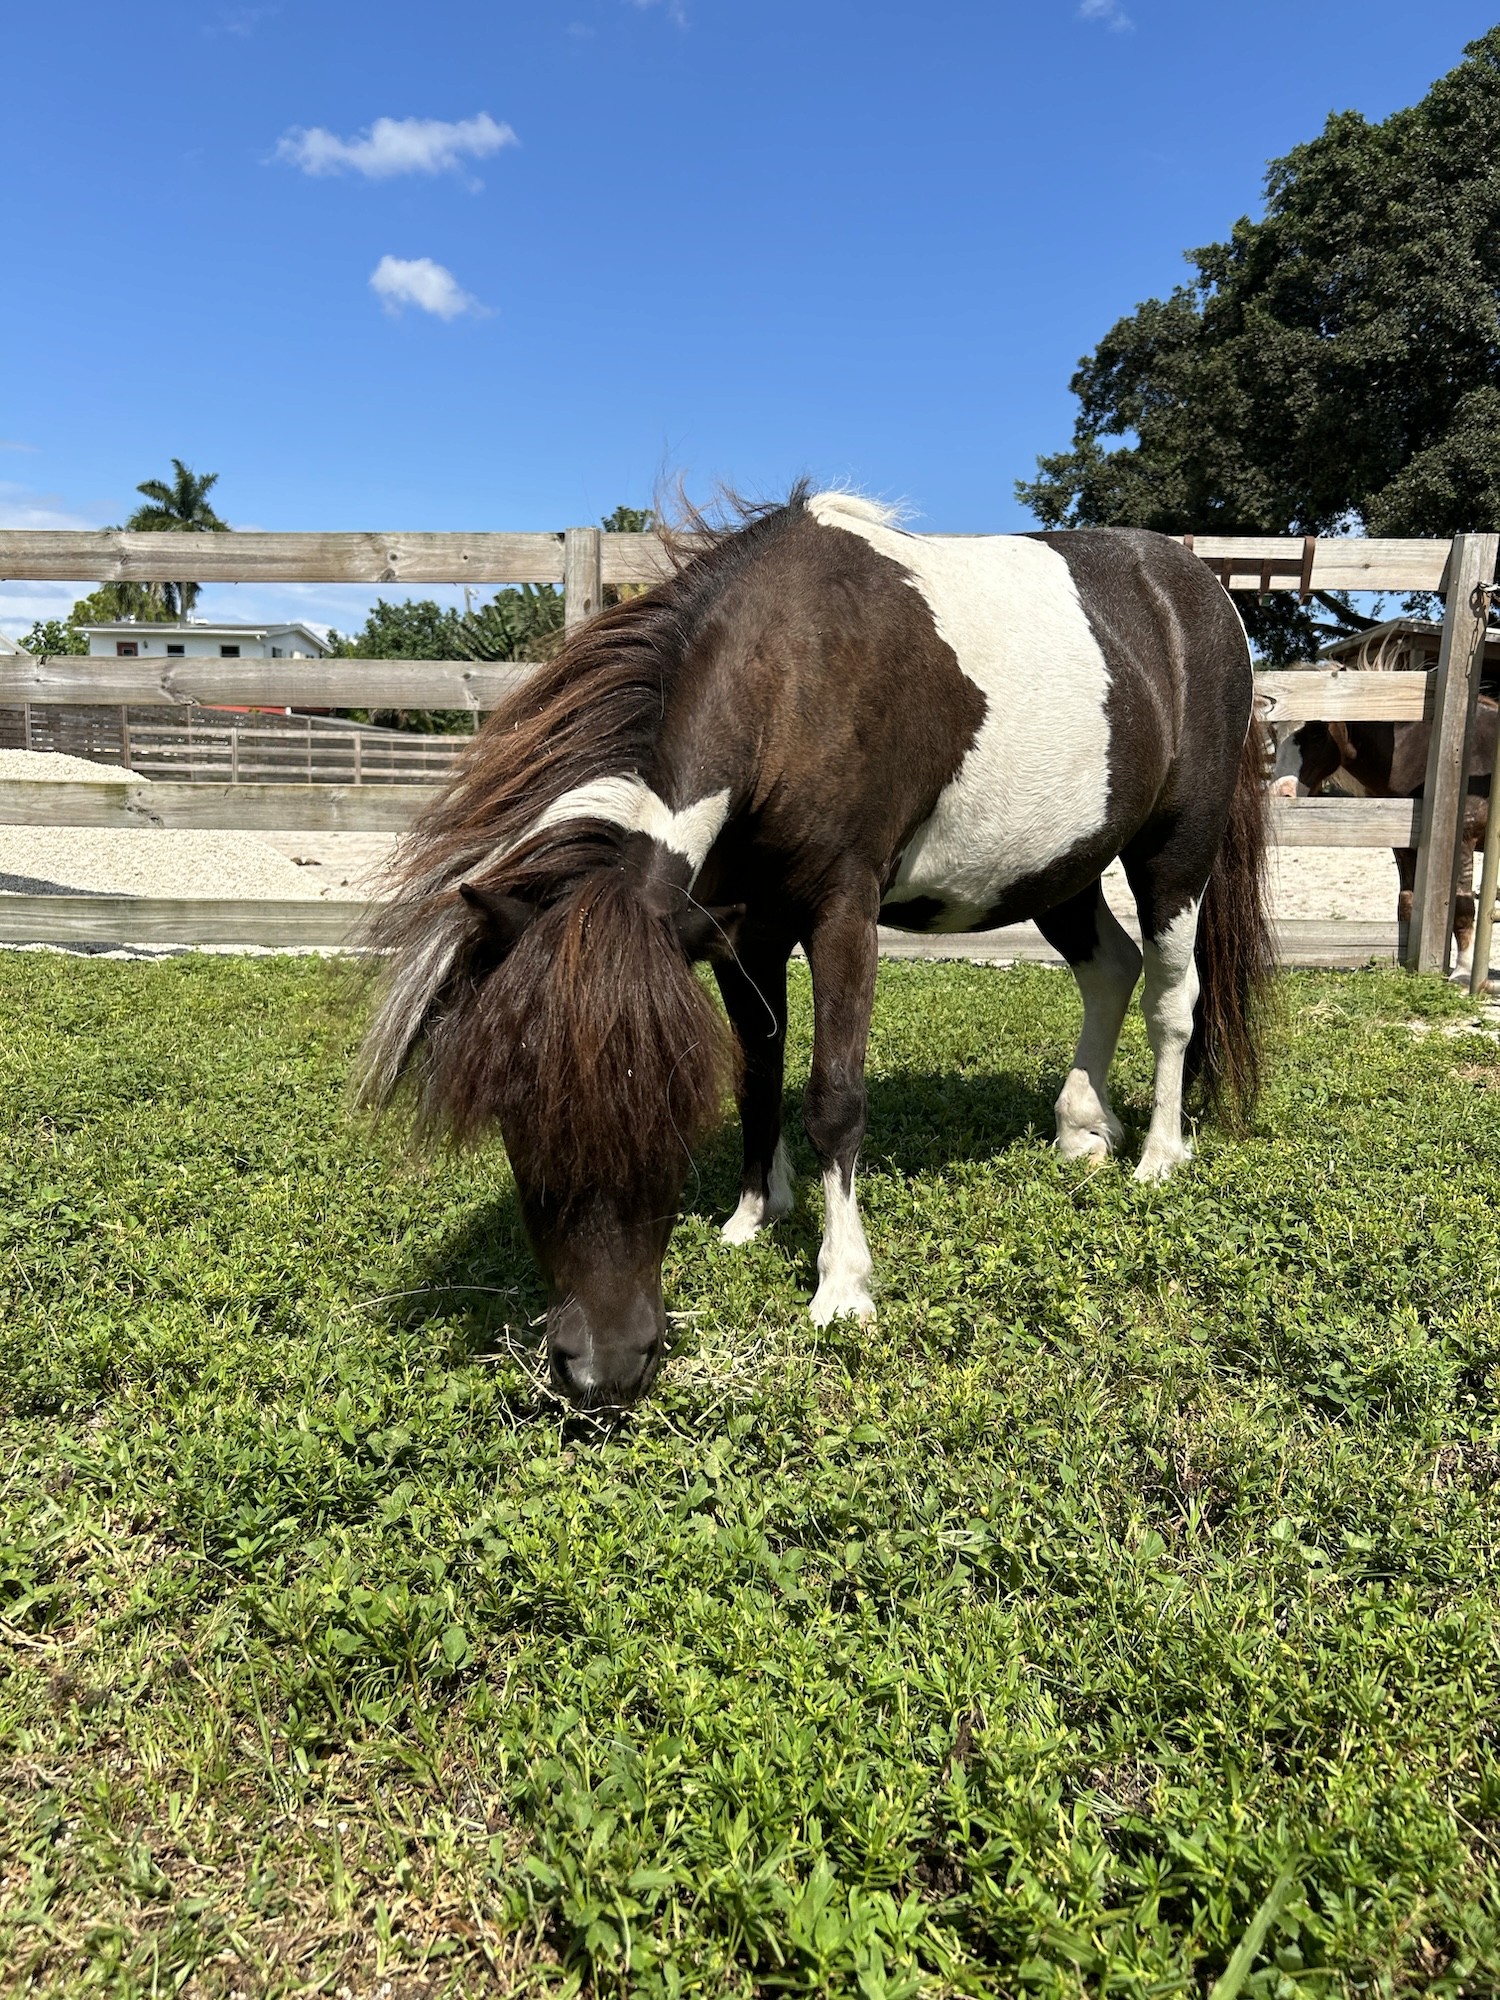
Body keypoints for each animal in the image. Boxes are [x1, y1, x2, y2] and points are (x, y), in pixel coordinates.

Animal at [359, 488, 1273, 1410]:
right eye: (512, 1113)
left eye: (668, 1110)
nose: (602, 1370)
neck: (789, 676)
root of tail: (1198, 585)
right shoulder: (737, 931)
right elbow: (759, 1074)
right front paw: (754, 1214)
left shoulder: (841, 911)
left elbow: (835, 1096)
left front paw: (842, 1285)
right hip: (1057, 869)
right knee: (1110, 968)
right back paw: (1083, 1128)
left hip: (1175, 850)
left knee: (1171, 999)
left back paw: (1159, 1155)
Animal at [1271, 706, 1497, 977]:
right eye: (1273, 730)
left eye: (1317, 734)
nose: (1281, 794)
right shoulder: (1407, 845)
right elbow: (1406, 900)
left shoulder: (1463, 840)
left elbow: (1463, 906)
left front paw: (1462, 972)